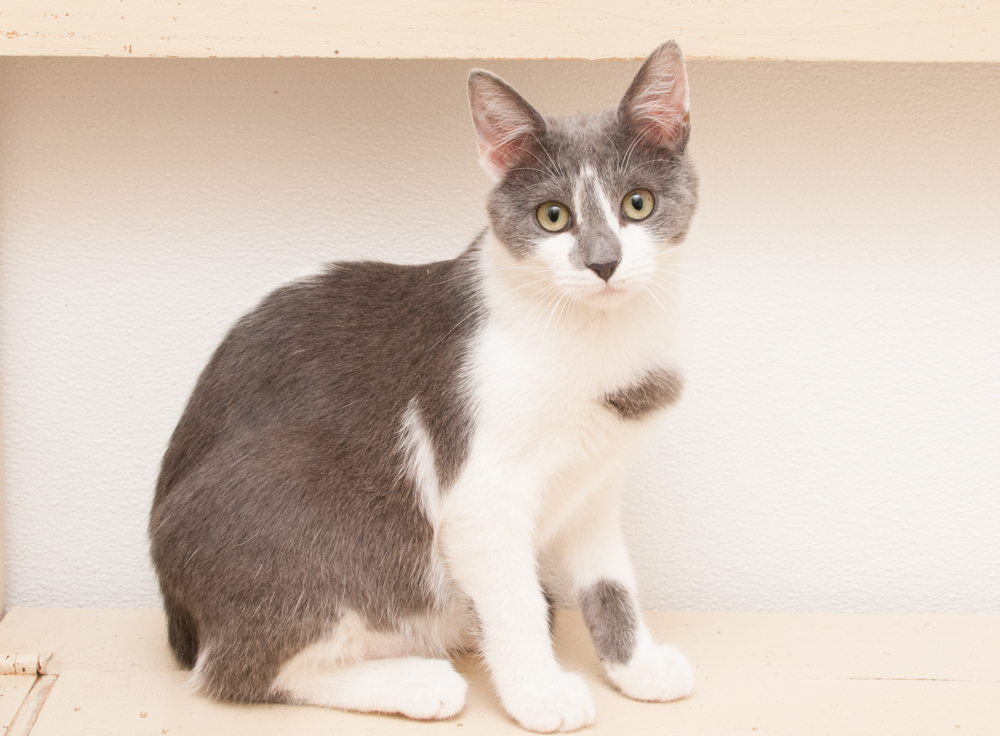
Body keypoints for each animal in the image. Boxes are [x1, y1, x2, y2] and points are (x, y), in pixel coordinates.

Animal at [150, 41, 696, 736]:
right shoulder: (479, 491)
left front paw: (636, 667)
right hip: (291, 480)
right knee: (233, 670)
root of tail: (179, 615)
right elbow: (516, 600)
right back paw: (415, 679)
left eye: (638, 204)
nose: (604, 263)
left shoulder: (594, 485)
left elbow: (610, 579)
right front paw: (539, 693)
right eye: (553, 217)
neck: (592, 339)